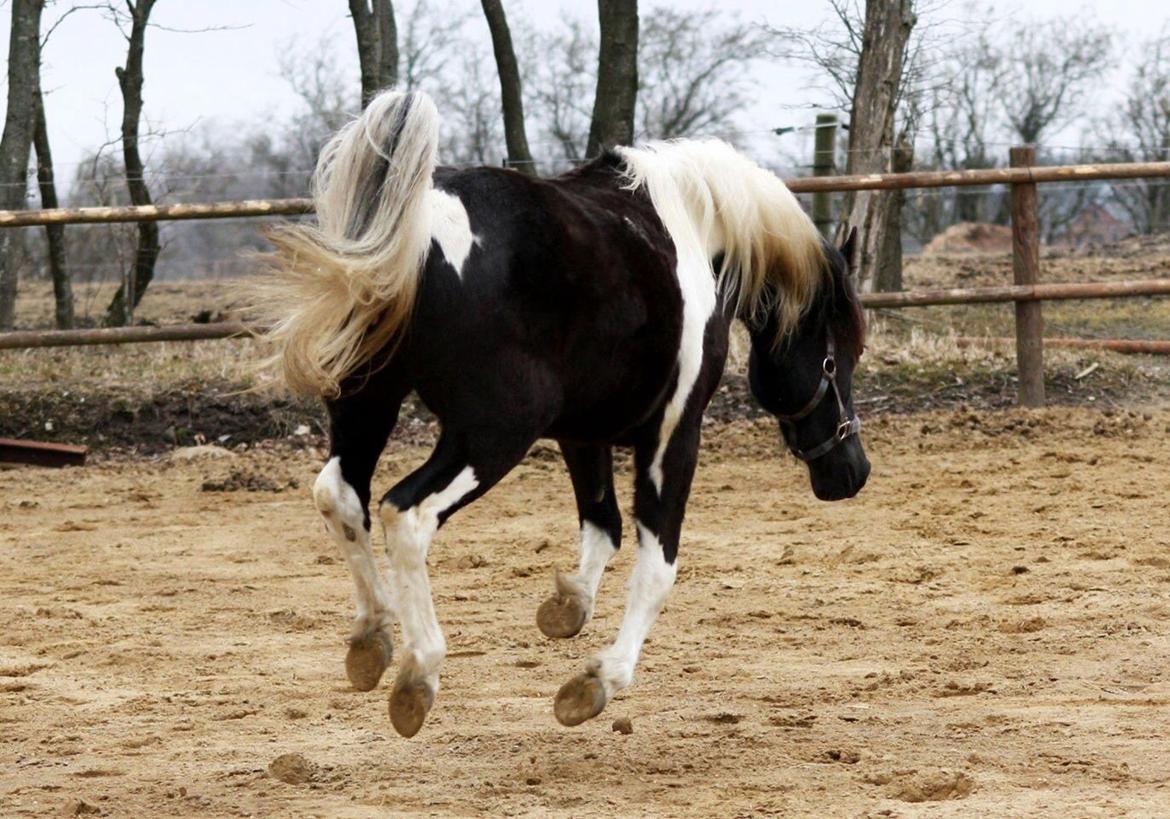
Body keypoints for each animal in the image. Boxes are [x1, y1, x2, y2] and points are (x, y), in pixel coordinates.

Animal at [258, 87, 870, 734]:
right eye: (838, 358)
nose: (851, 472)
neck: (697, 229)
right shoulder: (675, 431)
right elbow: (658, 564)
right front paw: (596, 680)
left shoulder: (583, 431)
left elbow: (604, 529)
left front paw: (567, 605)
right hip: (492, 433)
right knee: (407, 513)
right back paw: (418, 673)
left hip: (367, 403)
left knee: (339, 496)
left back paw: (371, 641)